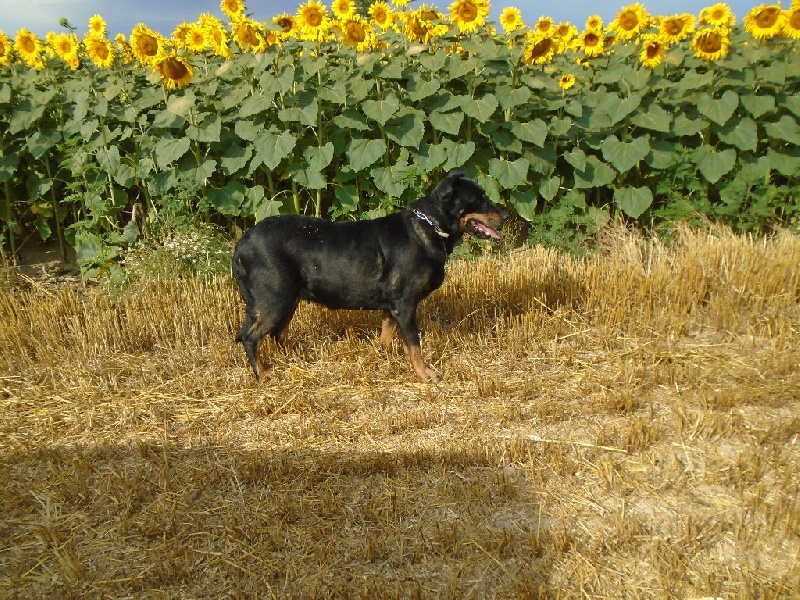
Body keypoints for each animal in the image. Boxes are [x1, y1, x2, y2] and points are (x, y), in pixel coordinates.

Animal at [233, 171, 506, 382]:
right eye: (479, 199)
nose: (505, 215)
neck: (429, 228)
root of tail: (242, 243)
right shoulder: (405, 305)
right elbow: (414, 345)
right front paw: (424, 373)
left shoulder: (392, 306)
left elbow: (386, 335)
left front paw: (382, 356)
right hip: (274, 299)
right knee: (250, 337)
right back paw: (263, 374)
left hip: (289, 298)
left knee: (278, 333)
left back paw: (297, 358)